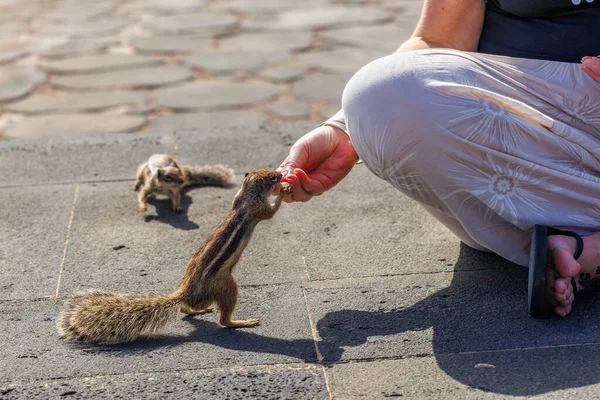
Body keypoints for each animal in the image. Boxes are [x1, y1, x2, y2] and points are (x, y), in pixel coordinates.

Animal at [58, 169, 292, 344]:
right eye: (272, 177)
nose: (281, 174)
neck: (247, 195)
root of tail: (185, 291)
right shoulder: (258, 209)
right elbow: (271, 211)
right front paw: (283, 190)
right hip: (225, 285)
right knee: (223, 320)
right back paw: (242, 322)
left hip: (206, 294)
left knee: (185, 307)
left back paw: (198, 311)